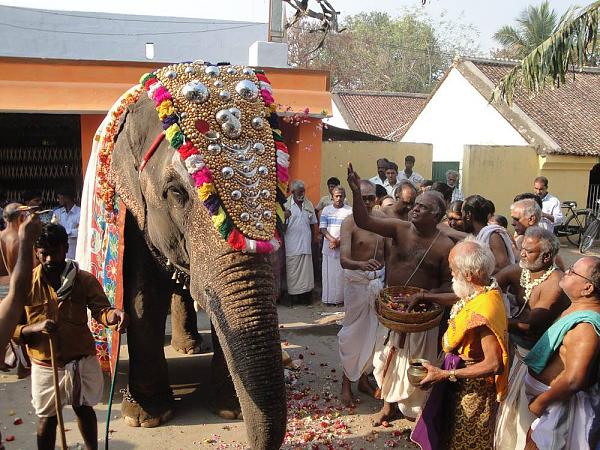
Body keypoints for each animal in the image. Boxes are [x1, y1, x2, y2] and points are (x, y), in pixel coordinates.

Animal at [105, 64, 288, 450]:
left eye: (280, 191)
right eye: (176, 192)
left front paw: (229, 410)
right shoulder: (133, 213)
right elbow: (144, 298)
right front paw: (147, 418)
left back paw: (189, 347)